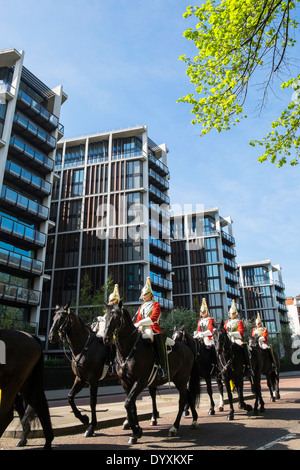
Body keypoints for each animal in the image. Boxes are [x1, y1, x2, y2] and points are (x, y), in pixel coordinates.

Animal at [47, 302, 116, 438]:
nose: (51, 337)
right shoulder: (80, 379)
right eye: (53, 318)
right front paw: (83, 418)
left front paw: (91, 427)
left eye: (62, 317)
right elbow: (70, 397)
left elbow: (92, 402)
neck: (83, 346)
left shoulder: (93, 380)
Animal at [103, 302, 202, 444]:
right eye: (105, 317)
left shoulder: (140, 381)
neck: (129, 351)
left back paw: (174, 427)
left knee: (182, 400)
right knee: (188, 395)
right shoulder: (125, 382)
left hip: (181, 379)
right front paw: (135, 431)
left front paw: (136, 430)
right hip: (179, 380)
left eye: (116, 317)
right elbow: (131, 405)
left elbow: (128, 403)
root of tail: (188, 349)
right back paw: (194, 420)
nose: (106, 338)